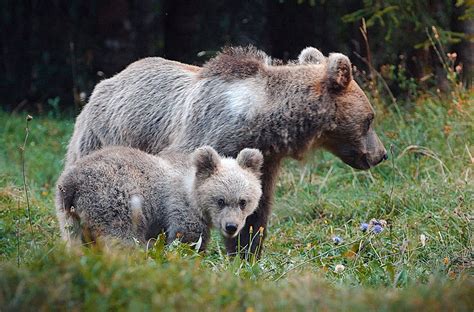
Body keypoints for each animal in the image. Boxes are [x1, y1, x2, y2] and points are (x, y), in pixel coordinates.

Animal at [65, 45, 386, 256]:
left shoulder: (265, 161)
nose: (381, 154)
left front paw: (247, 252)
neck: (262, 122)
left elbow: (256, 212)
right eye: (369, 119)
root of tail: (104, 84)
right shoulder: (204, 136)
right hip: (101, 136)